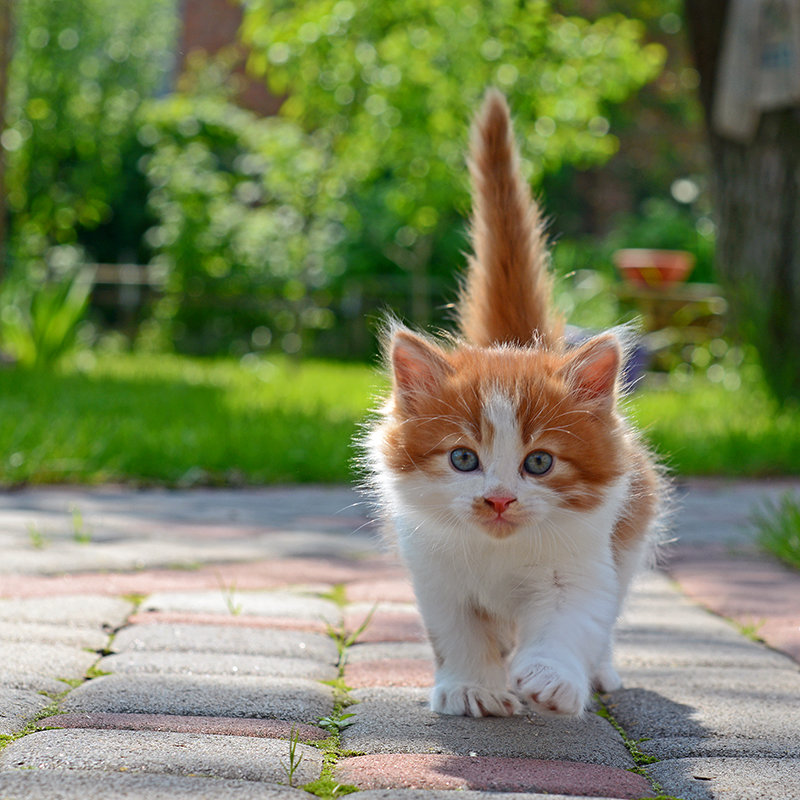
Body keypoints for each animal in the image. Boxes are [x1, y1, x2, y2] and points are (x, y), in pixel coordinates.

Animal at [364, 92, 664, 720]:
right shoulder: (435, 573)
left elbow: (572, 621)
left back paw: (599, 671)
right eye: (462, 459)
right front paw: (472, 686)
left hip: (630, 535)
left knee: (609, 613)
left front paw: (552, 678)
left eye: (540, 462)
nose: (499, 499)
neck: (500, 555)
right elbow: (459, 632)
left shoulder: (580, 564)